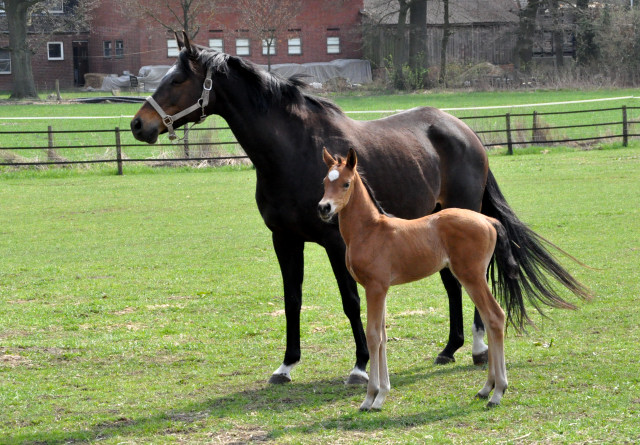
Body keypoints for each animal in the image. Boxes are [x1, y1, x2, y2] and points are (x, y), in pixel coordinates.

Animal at [129, 32, 592, 386]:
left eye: (177, 80)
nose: (138, 124)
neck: (293, 149)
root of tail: (463, 131)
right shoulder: (285, 240)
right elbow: (292, 299)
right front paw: (286, 366)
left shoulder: (336, 243)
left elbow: (351, 301)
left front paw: (359, 367)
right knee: (452, 285)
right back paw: (450, 349)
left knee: (467, 284)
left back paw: (477, 349)